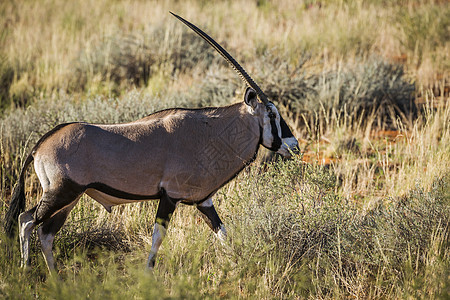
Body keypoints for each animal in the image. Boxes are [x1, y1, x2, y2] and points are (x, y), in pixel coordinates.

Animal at [4, 12, 298, 272]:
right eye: (272, 114)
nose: (293, 145)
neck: (210, 131)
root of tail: (39, 146)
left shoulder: (204, 202)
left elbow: (223, 233)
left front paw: (239, 263)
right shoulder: (170, 196)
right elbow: (158, 237)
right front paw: (148, 273)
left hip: (70, 199)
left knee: (45, 233)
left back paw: (55, 278)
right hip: (61, 193)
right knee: (27, 221)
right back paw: (25, 269)